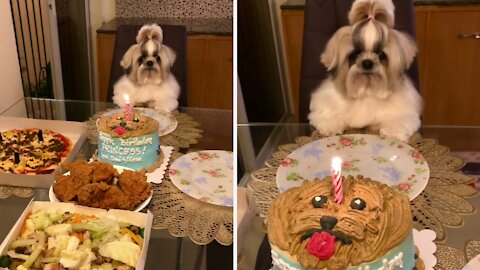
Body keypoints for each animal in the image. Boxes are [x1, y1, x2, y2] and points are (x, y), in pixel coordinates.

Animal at [310, 0, 422, 141]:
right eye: (355, 54)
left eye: (380, 54)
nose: (367, 62)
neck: (367, 87)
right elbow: (328, 116)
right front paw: (331, 126)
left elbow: (398, 120)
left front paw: (393, 131)